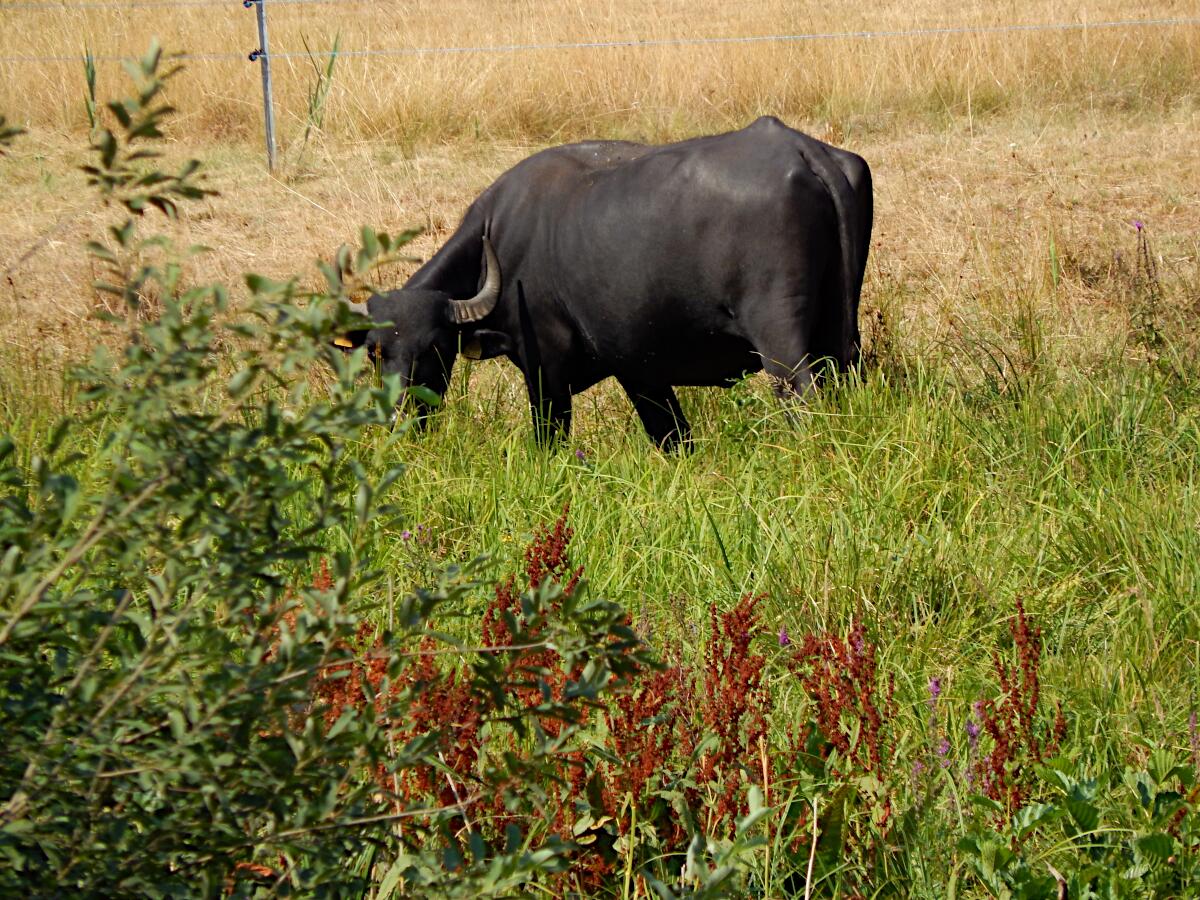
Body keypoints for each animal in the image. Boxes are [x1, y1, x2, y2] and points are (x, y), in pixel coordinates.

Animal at [343, 114, 878, 448]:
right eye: (376, 352)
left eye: (435, 349)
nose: (396, 414)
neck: (499, 238)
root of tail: (801, 150)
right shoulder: (639, 369)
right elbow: (672, 438)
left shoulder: (545, 372)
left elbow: (550, 441)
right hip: (841, 336)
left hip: (783, 345)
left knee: (803, 400)